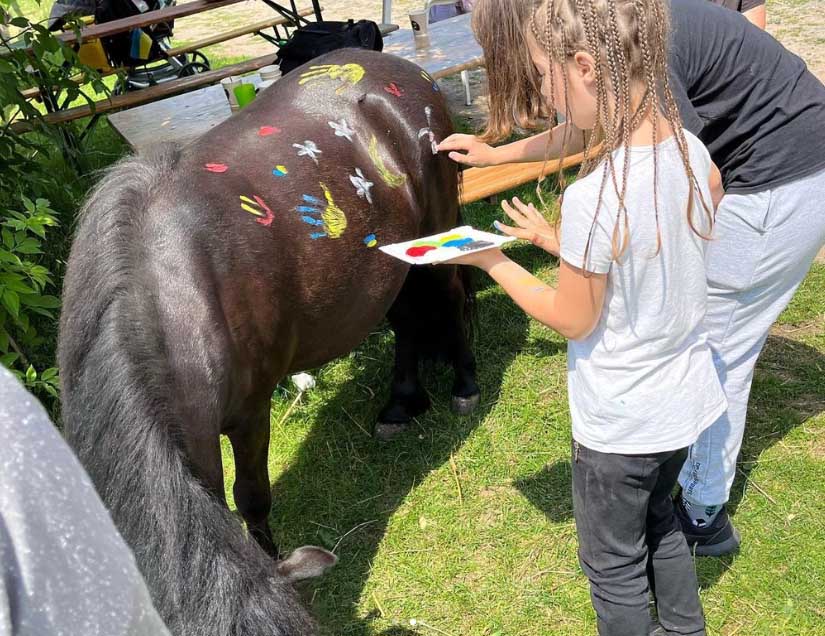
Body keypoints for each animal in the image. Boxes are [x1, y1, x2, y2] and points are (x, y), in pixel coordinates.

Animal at [58, 49, 476, 636]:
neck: (166, 291)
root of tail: (398, 68)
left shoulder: (249, 414)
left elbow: (251, 498)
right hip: (389, 261)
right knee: (407, 321)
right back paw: (401, 404)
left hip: (436, 232)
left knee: (452, 298)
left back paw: (465, 385)